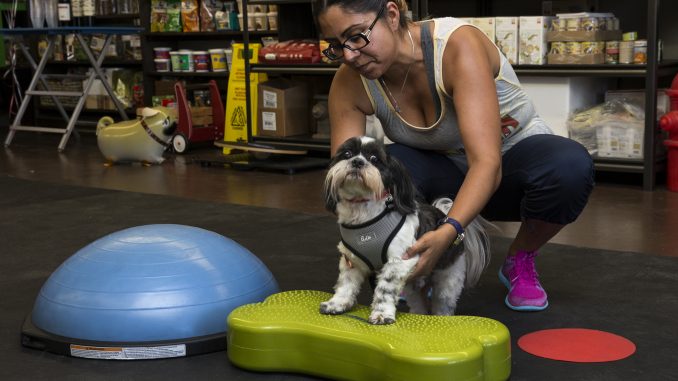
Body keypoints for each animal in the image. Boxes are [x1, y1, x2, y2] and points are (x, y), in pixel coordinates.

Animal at [322, 137, 492, 324]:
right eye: (347, 154)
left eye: (374, 159)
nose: (357, 162)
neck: (363, 214)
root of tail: (444, 217)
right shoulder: (352, 261)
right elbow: (346, 284)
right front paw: (337, 304)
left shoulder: (398, 262)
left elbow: (385, 289)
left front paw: (382, 314)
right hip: (413, 287)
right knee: (419, 305)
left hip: (448, 280)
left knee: (442, 304)